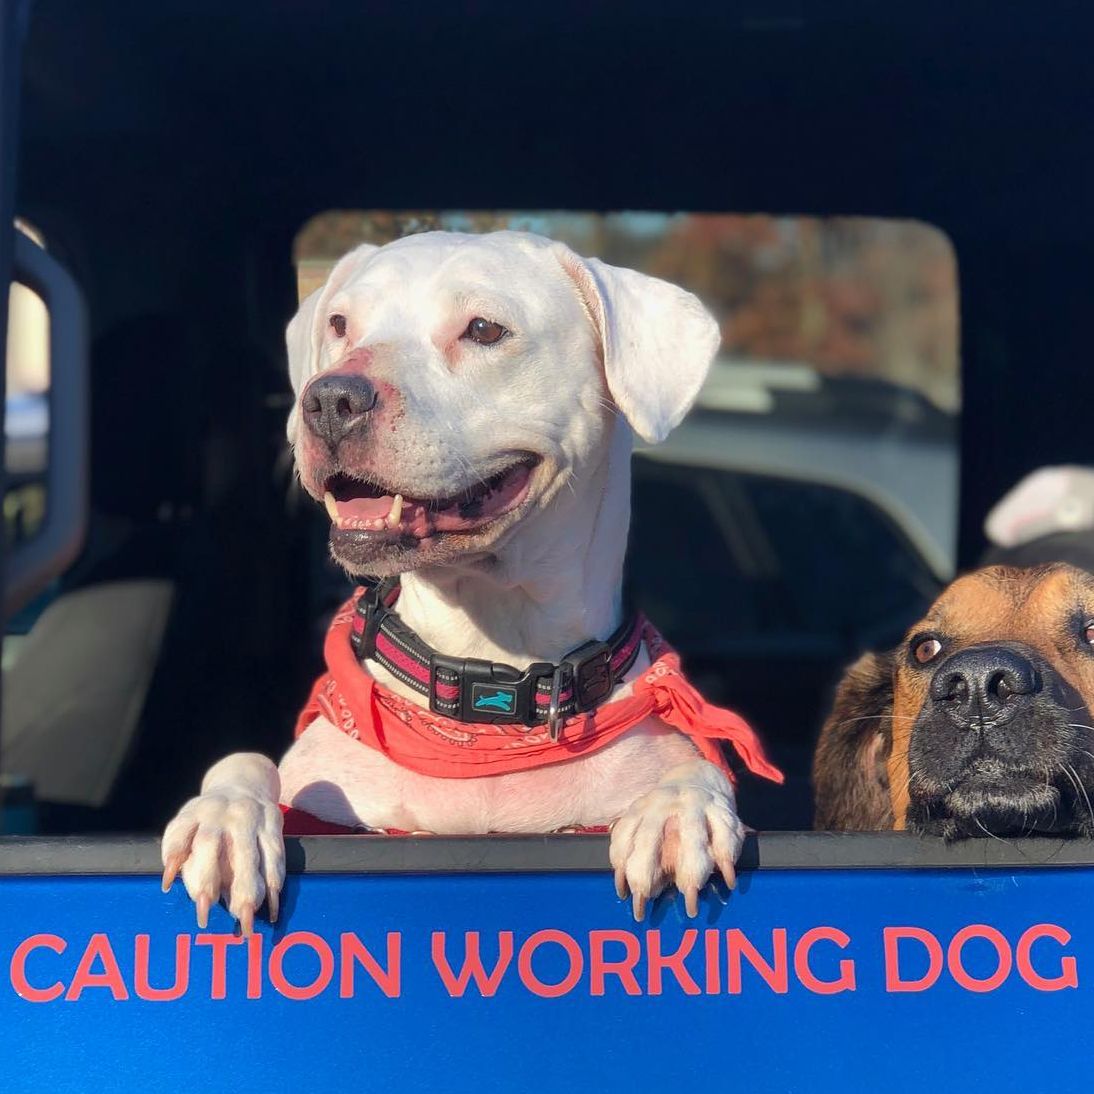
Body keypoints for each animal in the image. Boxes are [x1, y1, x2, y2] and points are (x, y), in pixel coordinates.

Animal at [161, 230, 781, 932]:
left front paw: (678, 809)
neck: (486, 696)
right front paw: (224, 820)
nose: (330, 399)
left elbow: (695, 768)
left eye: (484, 329)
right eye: (340, 324)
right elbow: (246, 761)